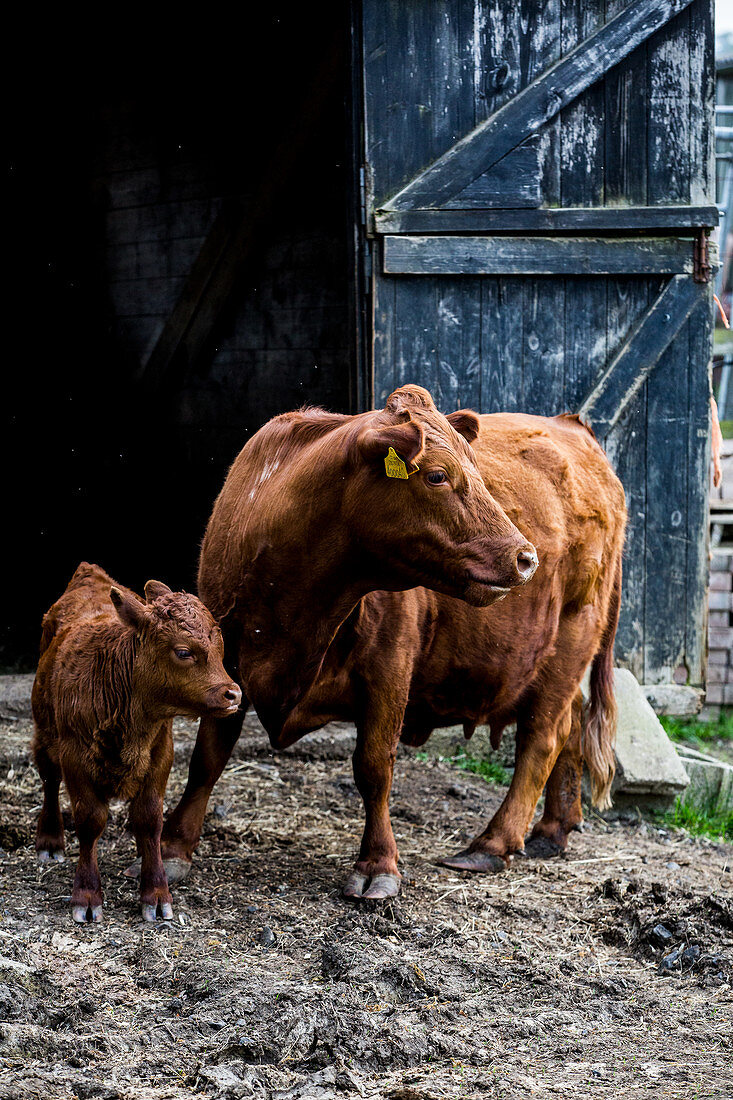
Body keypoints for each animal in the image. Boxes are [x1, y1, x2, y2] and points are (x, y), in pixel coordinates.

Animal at [30, 563, 239, 924]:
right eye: (183, 652)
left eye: (220, 645)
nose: (233, 694)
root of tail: (89, 574)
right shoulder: (75, 756)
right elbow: (90, 820)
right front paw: (87, 894)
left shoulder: (161, 751)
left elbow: (149, 818)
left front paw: (155, 891)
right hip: (45, 732)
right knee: (49, 779)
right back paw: (50, 839)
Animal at [157, 382, 620, 897]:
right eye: (437, 475)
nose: (525, 558)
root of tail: (571, 425)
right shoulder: (227, 660)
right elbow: (208, 756)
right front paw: (174, 847)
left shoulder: (389, 667)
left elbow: (374, 766)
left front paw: (378, 864)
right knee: (571, 724)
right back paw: (552, 830)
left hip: (573, 635)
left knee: (542, 737)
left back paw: (493, 843)